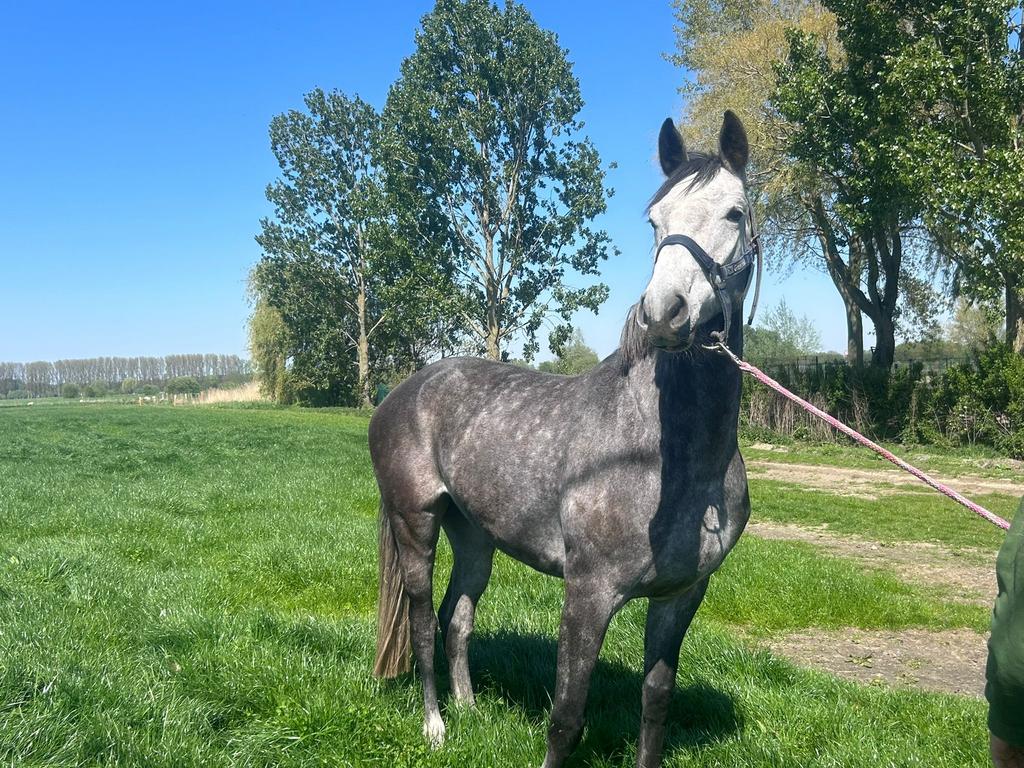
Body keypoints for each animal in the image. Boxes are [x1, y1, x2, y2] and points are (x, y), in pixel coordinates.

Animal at [369, 110, 758, 768]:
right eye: (655, 220)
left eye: (734, 212)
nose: (665, 313)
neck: (669, 455)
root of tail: (402, 391)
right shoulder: (588, 594)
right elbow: (567, 717)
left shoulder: (681, 596)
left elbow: (656, 703)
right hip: (415, 524)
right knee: (422, 623)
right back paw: (436, 726)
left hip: (475, 537)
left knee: (457, 618)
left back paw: (470, 711)